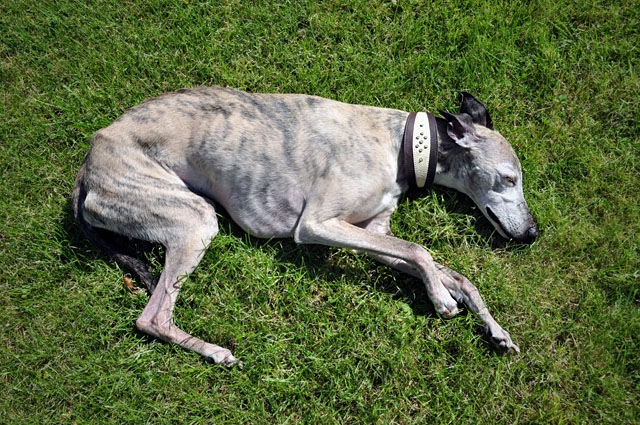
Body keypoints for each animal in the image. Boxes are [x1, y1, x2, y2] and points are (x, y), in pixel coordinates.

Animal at [72, 87, 538, 367]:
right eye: (509, 178)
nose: (533, 234)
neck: (402, 144)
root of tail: (89, 161)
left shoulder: (374, 234)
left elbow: (449, 271)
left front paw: (492, 326)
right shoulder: (316, 223)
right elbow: (420, 251)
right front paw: (441, 299)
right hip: (195, 219)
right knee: (151, 319)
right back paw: (216, 352)